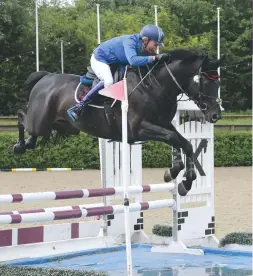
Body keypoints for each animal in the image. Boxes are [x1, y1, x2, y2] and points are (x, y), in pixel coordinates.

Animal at [13, 49, 223, 196]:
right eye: (205, 82)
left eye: (218, 83)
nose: (216, 115)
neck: (154, 87)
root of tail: (46, 77)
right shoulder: (138, 130)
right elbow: (174, 138)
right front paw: (177, 174)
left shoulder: (164, 124)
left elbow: (184, 142)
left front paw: (182, 179)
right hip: (38, 121)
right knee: (21, 116)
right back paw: (20, 145)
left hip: (65, 127)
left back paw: (29, 142)